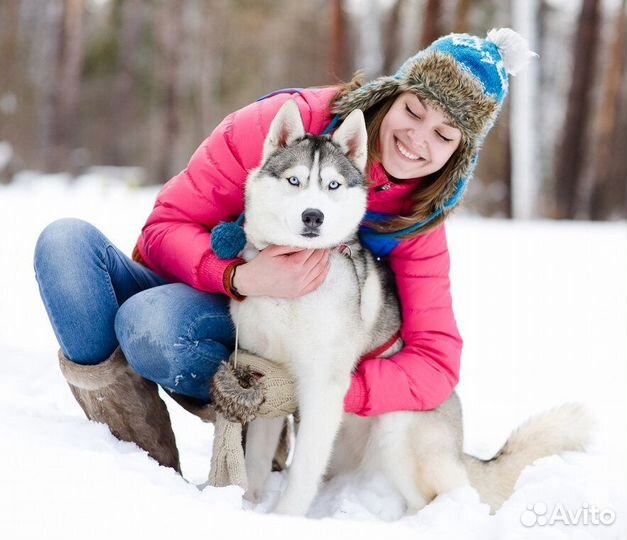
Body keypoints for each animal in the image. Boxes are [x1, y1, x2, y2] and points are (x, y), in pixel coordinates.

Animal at [228, 99, 592, 516]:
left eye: (333, 185)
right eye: (294, 181)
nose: (313, 216)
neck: (292, 281)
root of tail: (458, 447)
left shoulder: (323, 385)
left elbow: (303, 470)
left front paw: (285, 517)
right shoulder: (265, 375)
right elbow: (256, 457)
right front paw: (250, 506)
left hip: (397, 431)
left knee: (430, 499)